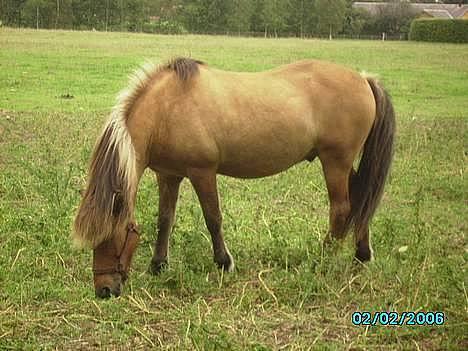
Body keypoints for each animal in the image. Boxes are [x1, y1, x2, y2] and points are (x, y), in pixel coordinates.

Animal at [73, 58, 394, 300]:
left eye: (109, 237)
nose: (104, 290)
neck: (167, 108)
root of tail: (363, 78)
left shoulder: (202, 173)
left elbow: (213, 218)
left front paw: (223, 262)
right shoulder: (169, 175)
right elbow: (165, 220)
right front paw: (158, 265)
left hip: (335, 161)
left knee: (341, 209)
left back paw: (322, 259)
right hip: (342, 163)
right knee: (360, 198)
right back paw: (361, 255)